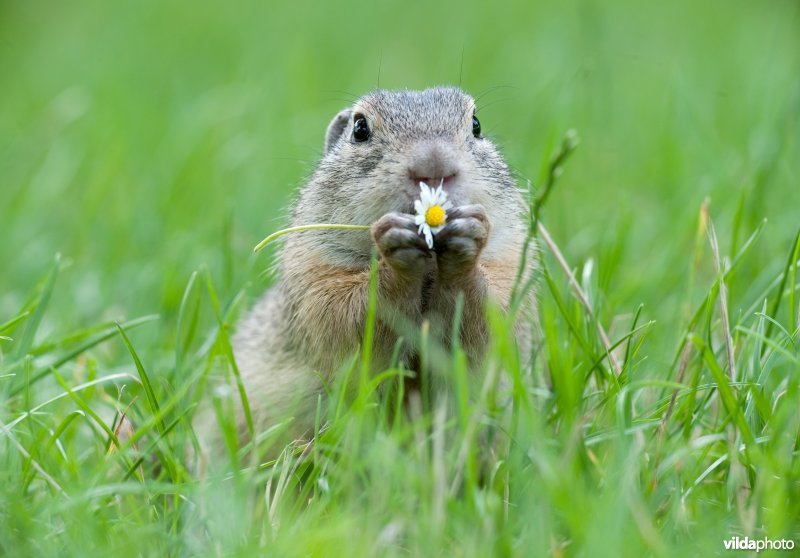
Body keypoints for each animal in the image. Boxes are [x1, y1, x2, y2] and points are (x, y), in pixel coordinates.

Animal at [203, 85, 536, 458]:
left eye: (476, 125)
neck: (429, 271)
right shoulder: (313, 272)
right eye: (359, 128)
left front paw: (467, 239)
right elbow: (348, 319)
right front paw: (395, 254)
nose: (433, 165)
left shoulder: (510, 263)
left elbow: (490, 318)